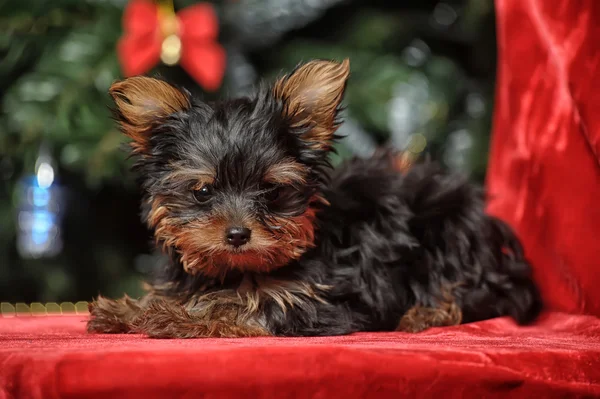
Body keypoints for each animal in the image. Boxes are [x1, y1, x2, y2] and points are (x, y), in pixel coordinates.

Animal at [89, 59, 544, 340]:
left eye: (272, 190)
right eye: (202, 192)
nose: (237, 235)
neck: (238, 269)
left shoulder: (319, 299)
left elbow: (245, 305)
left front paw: (172, 317)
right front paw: (131, 310)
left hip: (447, 227)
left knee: (472, 294)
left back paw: (424, 313)